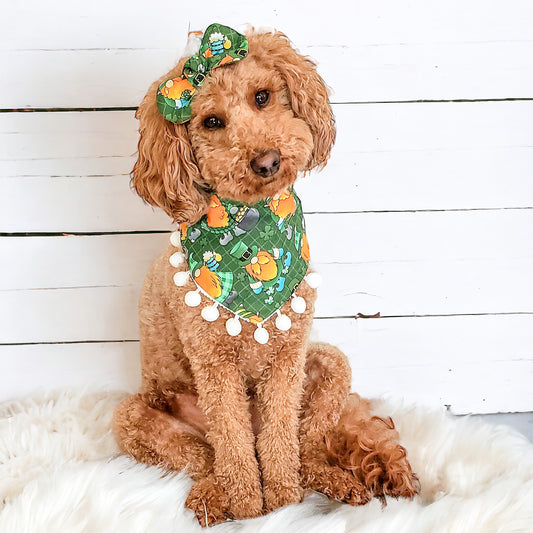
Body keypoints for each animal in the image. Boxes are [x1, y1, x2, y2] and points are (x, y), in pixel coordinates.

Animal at [112, 25, 416, 524]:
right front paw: (252, 507)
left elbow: (280, 440)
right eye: (211, 122)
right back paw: (212, 496)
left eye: (262, 96)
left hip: (330, 364)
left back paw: (334, 478)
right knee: (207, 454)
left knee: (308, 446)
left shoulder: (287, 361)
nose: (267, 161)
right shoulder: (215, 367)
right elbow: (234, 446)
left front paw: (284, 502)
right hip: (135, 415)